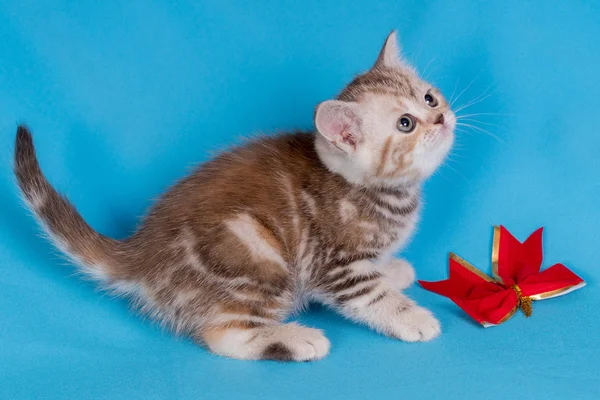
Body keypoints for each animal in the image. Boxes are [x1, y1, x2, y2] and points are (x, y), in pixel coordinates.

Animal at [14, 32, 454, 362]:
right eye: (405, 123)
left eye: (429, 98)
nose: (441, 118)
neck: (386, 192)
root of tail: (142, 253)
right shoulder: (333, 263)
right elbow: (372, 294)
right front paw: (411, 316)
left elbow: (377, 269)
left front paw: (392, 269)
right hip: (257, 257)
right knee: (225, 336)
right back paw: (297, 339)